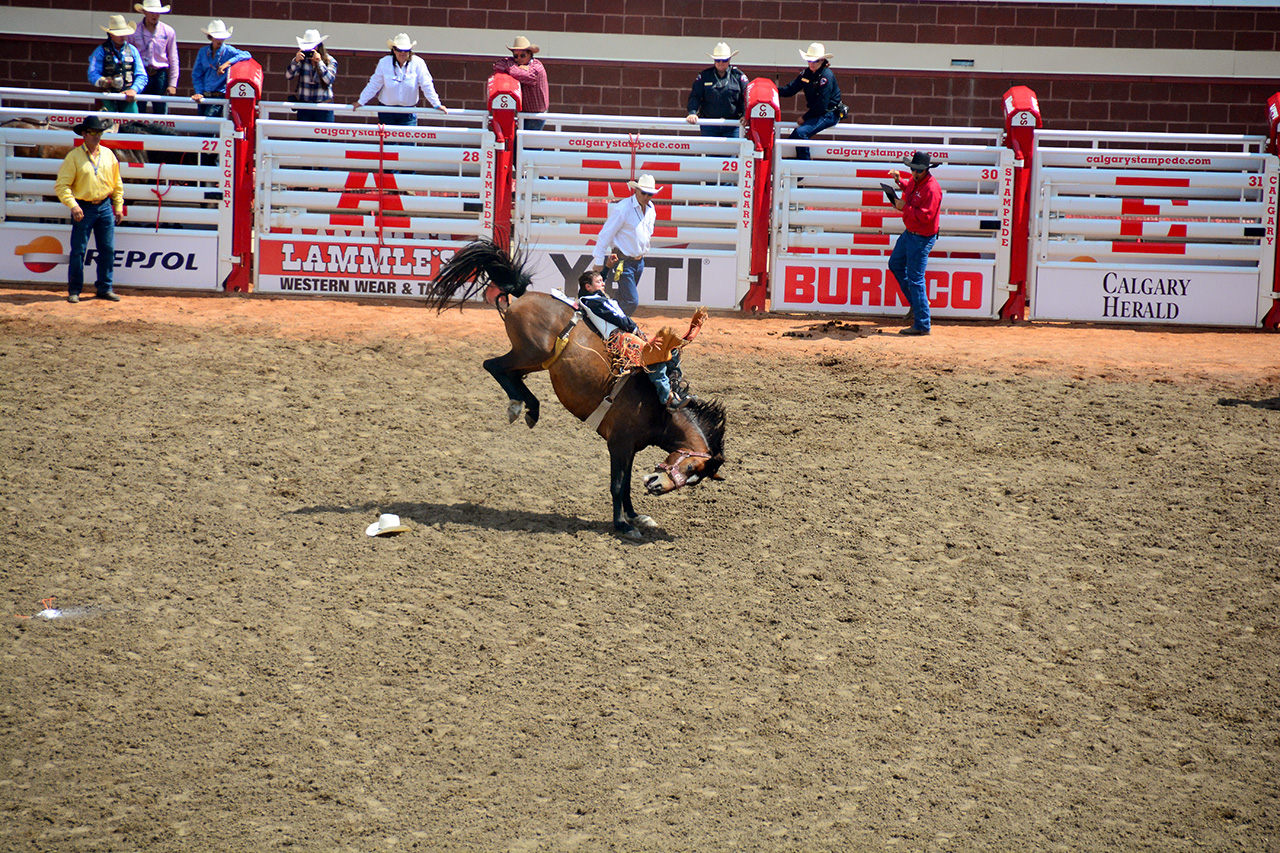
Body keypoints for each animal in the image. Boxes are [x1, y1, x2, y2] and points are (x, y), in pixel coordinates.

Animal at [427, 235, 727, 535]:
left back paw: (527, 408)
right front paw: (622, 525)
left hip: (537, 361)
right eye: (690, 468)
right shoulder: (619, 443)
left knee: (511, 375)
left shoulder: (629, 447)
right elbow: (618, 484)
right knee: (492, 365)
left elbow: (626, 485)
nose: (655, 485)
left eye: (694, 478)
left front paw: (635, 516)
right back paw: (520, 407)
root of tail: (523, 296)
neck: (657, 408)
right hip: (530, 353)